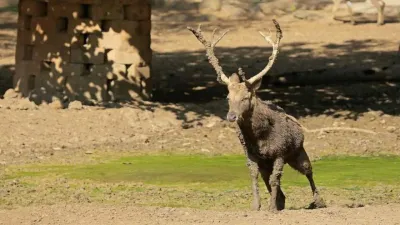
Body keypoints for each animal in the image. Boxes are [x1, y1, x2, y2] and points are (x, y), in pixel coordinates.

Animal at [187, 19, 324, 213]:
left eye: (246, 97)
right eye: (228, 97)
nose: (231, 116)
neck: (260, 136)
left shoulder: (280, 152)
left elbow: (276, 179)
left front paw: (271, 208)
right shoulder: (251, 154)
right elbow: (254, 176)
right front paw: (256, 206)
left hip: (298, 152)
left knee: (309, 171)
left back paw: (318, 202)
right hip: (268, 162)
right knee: (276, 184)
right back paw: (281, 202)